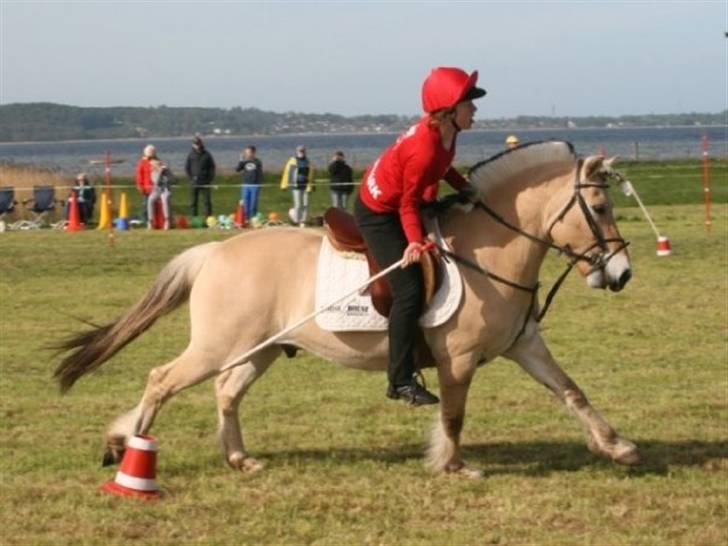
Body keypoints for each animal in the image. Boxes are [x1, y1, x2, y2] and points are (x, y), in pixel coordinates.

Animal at [54, 141, 640, 476]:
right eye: (600, 206)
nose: (620, 273)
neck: (488, 249)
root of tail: (214, 251)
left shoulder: (524, 344)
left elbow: (571, 391)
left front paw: (617, 447)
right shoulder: (458, 359)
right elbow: (453, 414)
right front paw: (451, 465)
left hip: (260, 348)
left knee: (226, 392)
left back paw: (239, 458)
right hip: (216, 345)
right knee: (161, 379)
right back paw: (123, 445)